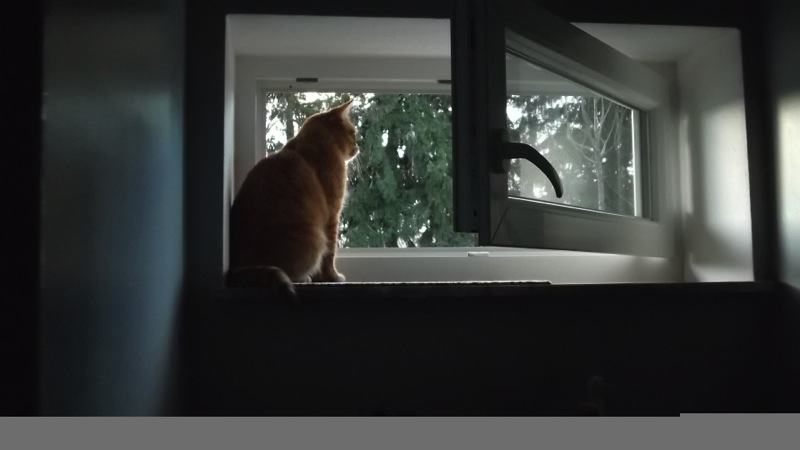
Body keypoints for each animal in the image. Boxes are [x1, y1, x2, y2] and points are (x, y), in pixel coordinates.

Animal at [228, 99, 359, 300]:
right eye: (353, 133)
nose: (358, 147)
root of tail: (237, 267)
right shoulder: (332, 216)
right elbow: (330, 253)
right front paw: (332, 277)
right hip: (314, 238)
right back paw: (303, 277)